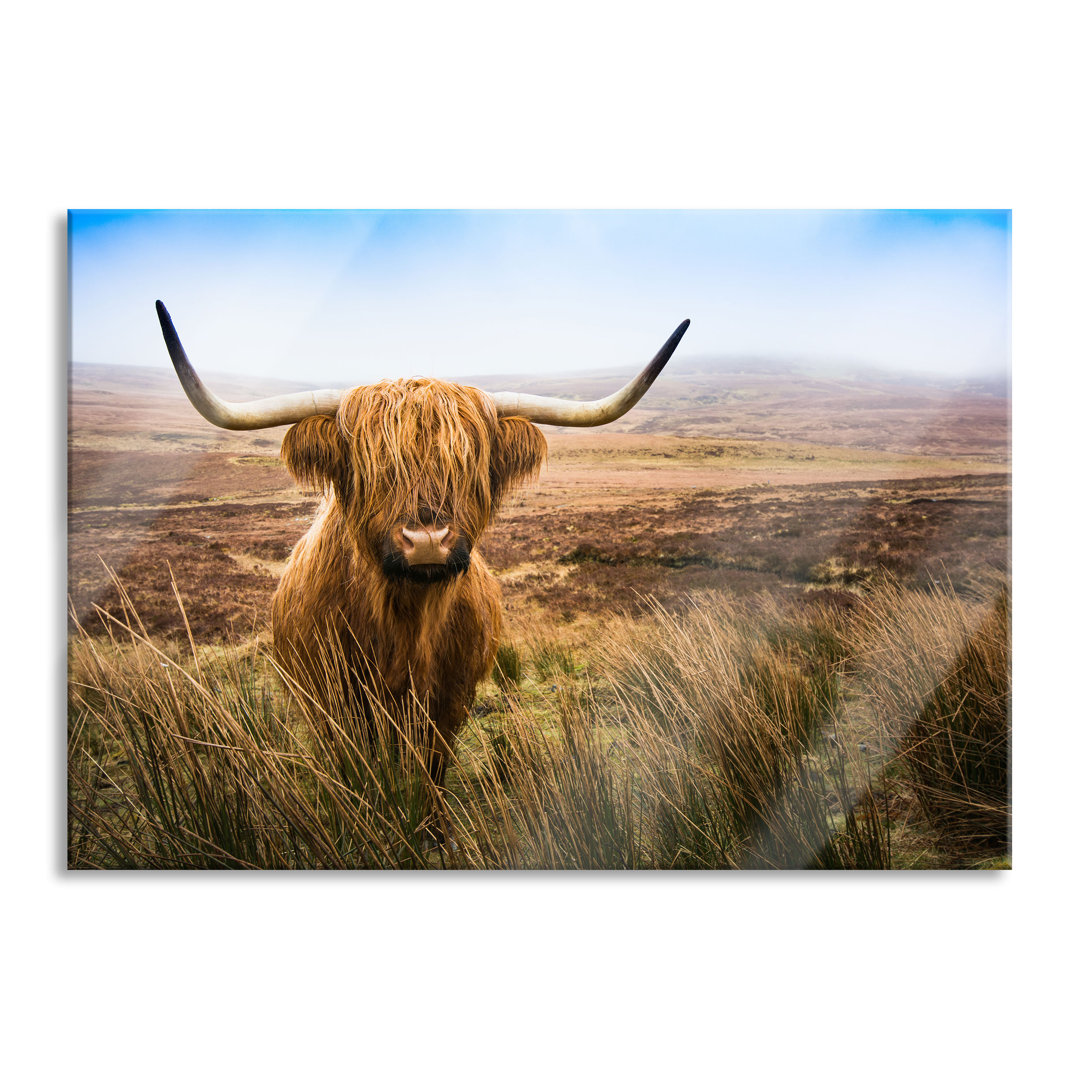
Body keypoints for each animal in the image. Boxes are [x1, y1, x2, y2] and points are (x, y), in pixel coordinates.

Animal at [156, 304, 686, 833]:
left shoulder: (451, 700)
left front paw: (433, 829)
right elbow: (357, 771)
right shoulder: (334, 704)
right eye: (371, 466)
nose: (428, 541)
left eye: (469, 463)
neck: (405, 625)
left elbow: (432, 768)